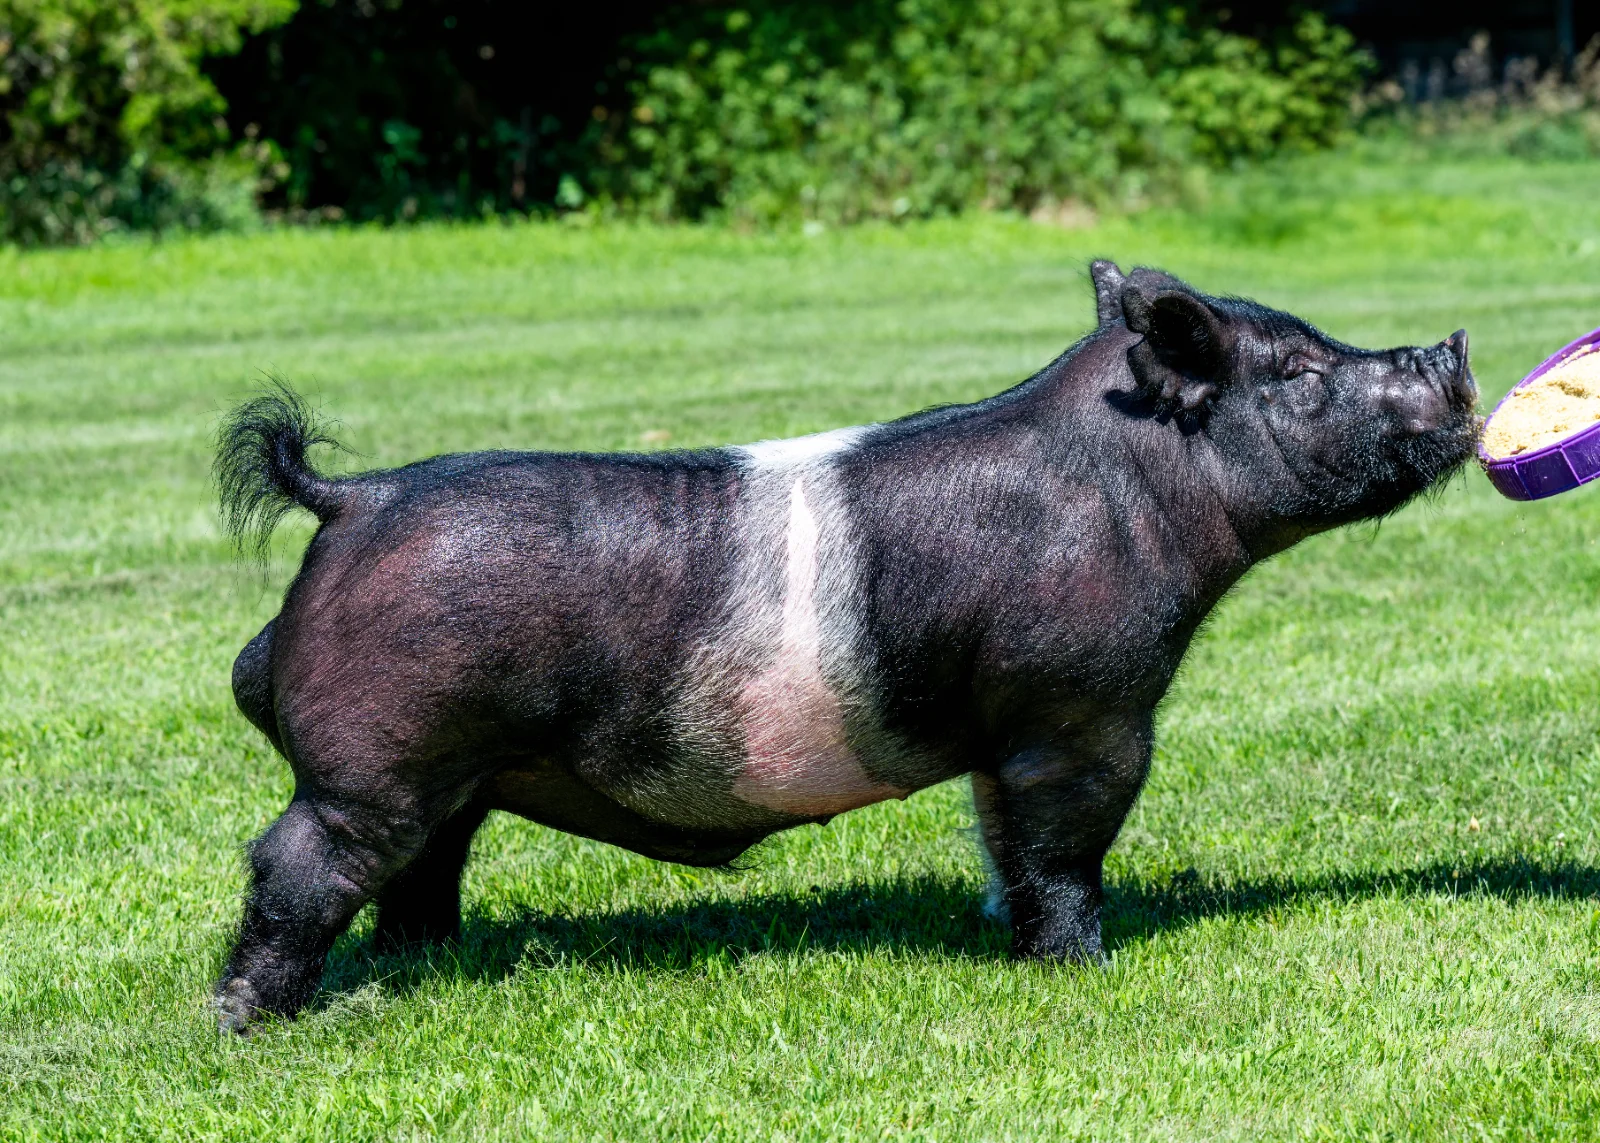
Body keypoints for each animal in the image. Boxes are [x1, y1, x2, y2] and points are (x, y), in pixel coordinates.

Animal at [212, 261, 1478, 1033]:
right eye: (1300, 372)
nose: (1454, 346)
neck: (1140, 493)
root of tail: (355, 499)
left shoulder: (1000, 734)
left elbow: (1002, 839)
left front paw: (1011, 940)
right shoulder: (1084, 710)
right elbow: (1065, 846)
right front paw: (1083, 971)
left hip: (444, 771)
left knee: (422, 869)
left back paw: (427, 968)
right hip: (376, 757)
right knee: (296, 864)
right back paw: (251, 1023)